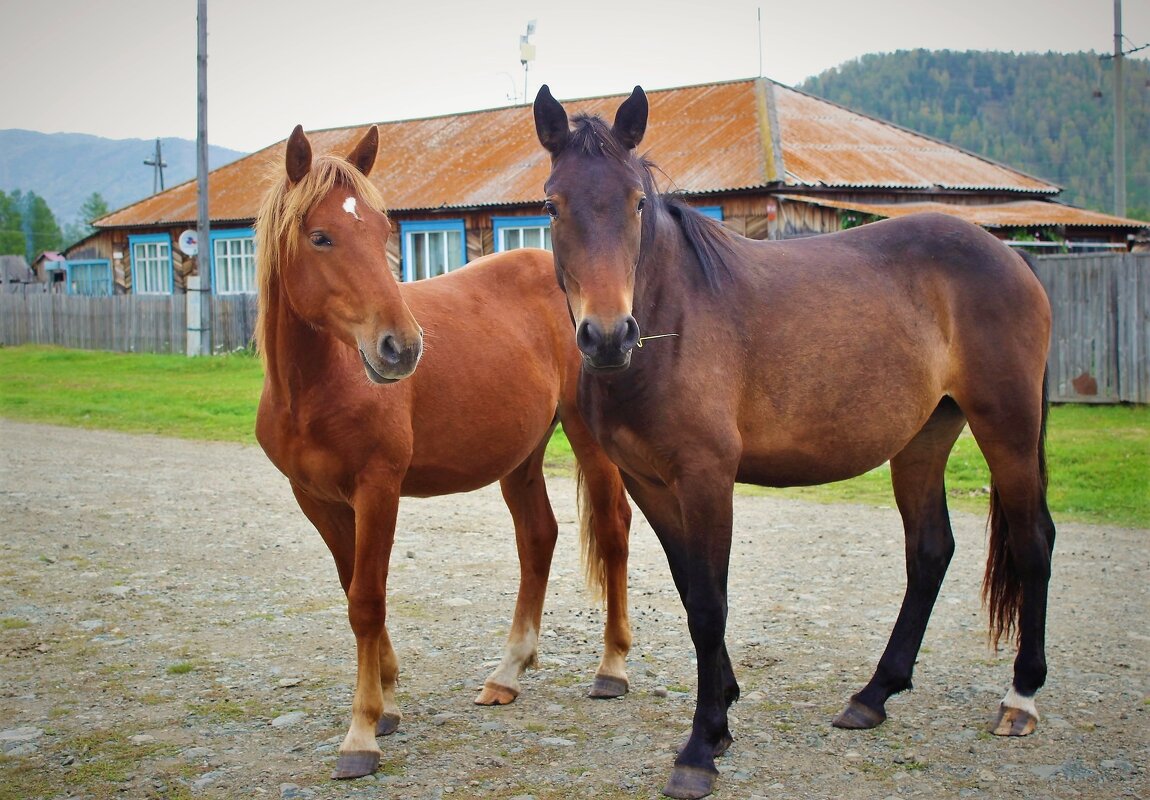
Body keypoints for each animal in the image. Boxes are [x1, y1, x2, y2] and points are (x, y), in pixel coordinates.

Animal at [253, 126, 634, 781]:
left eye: (382, 231)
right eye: (320, 236)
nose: (401, 348)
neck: (316, 386)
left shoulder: (377, 490)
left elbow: (367, 600)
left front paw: (361, 734)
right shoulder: (317, 500)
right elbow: (353, 589)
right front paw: (386, 702)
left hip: (587, 438)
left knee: (612, 533)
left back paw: (611, 668)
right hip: (520, 457)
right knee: (538, 538)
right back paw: (507, 673)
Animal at [533, 86, 1053, 800]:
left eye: (636, 201)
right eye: (553, 205)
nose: (607, 336)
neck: (673, 321)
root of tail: (1010, 257)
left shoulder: (706, 479)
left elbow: (710, 605)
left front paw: (701, 747)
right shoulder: (649, 483)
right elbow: (692, 591)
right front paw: (723, 710)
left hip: (1007, 427)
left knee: (1033, 544)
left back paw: (1020, 698)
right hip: (924, 438)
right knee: (930, 551)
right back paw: (873, 695)